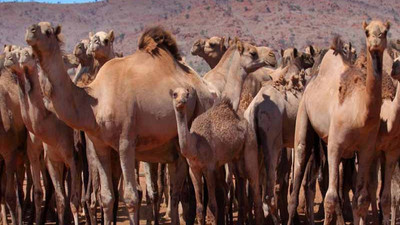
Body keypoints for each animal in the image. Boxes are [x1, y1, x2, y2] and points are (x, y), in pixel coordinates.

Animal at [3, 47, 81, 225]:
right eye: (16, 53)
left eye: (28, 53)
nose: (8, 59)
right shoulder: (42, 156)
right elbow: (51, 194)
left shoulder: (71, 158)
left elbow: (73, 198)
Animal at [25, 22, 220, 225]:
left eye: (48, 31)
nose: (31, 30)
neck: (95, 102)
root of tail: (205, 88)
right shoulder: (99, 144)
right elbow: (106, 197)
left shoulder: (126, 141)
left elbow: (131, 197)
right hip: (175, 146)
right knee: (176, 191)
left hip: (200, 113)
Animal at [288, 20, 390, 224]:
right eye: (367, 32)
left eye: (384, 32)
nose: (375, 42)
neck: (360, 112)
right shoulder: (335, 146)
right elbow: (330, 197)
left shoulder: (366, 149)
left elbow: (360, 198)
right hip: (304, 117)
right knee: (300, 169)